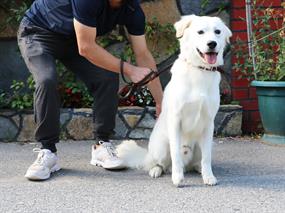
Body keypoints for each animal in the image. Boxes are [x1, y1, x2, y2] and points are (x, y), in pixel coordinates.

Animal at [115, 15, 231, 186]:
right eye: (200, 32)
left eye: (217, 32)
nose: (212, 44)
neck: (199, 70)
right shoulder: (176, 120)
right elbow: (175, 154)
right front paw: (177, 177)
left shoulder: (209, 123)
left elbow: (207, 158)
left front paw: (208, 176)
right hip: (161, 146)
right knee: (160, 164)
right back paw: (157, 170)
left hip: (206, 143)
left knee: (197, 161)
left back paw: (198, 169)